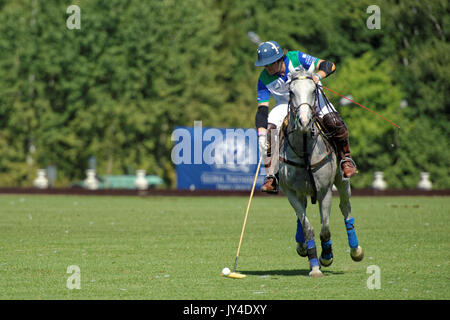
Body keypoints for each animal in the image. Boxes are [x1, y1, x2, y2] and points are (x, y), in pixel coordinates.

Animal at [280, 70, 364, 278]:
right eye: (291, 92)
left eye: (313, 90)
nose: (303, 122)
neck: (304, 149)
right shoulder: (291, 192)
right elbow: (308, 227)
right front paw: (315, 265)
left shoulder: (324, 191)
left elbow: (325, 229)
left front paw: (326, 256)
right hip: (301, 192)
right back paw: (302, 246)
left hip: (342, 181)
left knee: (345, 208)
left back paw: (356, 250)